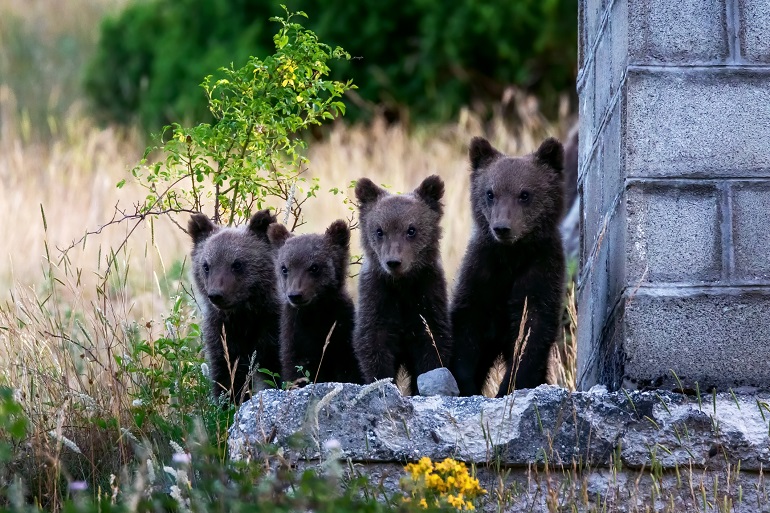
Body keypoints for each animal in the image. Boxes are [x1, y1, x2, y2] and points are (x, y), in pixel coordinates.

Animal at [188, 210, 282, 403]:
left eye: (237, 264)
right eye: (206, 265)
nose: (216, 295)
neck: (244, 315)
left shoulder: (272, 327)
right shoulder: (222, 333)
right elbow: (227, 376)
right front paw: (229, 402)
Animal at [267, 219, 363, 385]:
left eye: (314, 267)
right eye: (284, 268)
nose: (295, 295)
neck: (314, 314)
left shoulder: (342, 331)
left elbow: (349, 368)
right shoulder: (295, 336)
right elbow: (296, 369)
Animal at [353, 175, 453, 394]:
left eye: (411, 229)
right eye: (379, 230)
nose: (394, 262)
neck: (402, 285)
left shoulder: (428, 293)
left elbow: (432, 343)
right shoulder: (377, 296)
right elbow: (373, 343)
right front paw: (382, 383)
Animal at [449, 137, 566, 397]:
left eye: (525, 194)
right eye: (490, 193)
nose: (502, 227)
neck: (511, 256)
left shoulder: (539, 273)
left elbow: (531, 334)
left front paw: (509, 386)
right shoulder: (481, 273)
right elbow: (466, 328)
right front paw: (466, 385)